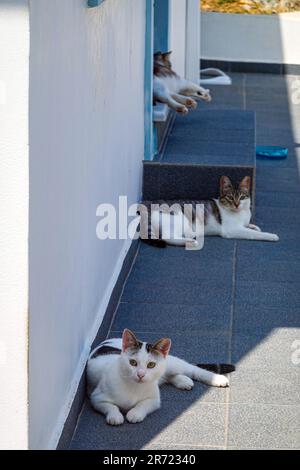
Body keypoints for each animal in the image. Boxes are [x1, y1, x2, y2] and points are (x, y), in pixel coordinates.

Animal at [87, 330, 232, 426]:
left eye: (151, 365)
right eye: (132, 363)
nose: (140, 374)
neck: (134, 386)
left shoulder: (154, 400)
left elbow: (143, 404)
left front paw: (135, 413)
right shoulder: (96, 398)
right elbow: (110, 406)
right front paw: (115, 416)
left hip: (173, 364)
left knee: (193, 370)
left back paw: (217, 379)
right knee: (167, 377)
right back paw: (183, 381)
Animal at [139, 176, 280, 250]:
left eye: (242, 197)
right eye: (230, 198)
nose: (236, 204)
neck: (242, 212)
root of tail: (149, 208)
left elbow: (250, 227)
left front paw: (254, 226)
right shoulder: (232, 230)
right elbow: (254, 234)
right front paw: (270, 235)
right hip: (179, 219)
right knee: (168, 237)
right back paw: (191, 241)